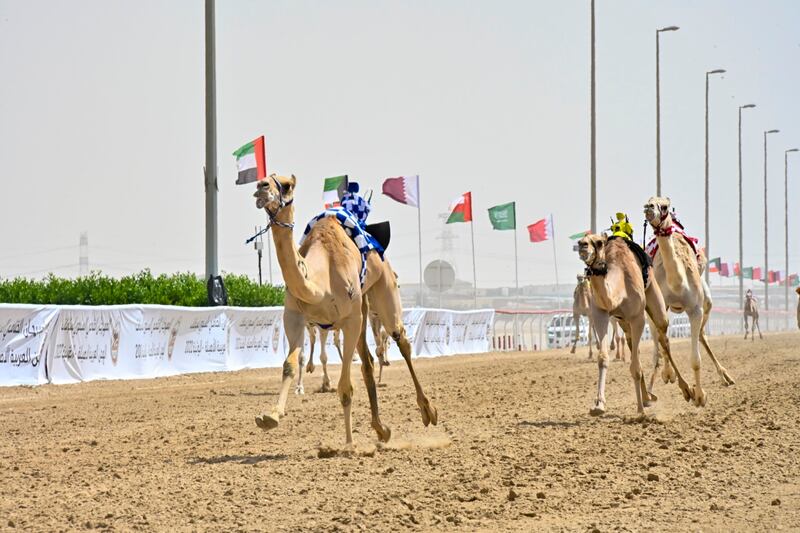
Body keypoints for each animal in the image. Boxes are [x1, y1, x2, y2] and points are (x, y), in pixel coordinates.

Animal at [253, 176, 438, 444]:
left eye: (286, 185)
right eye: (263, 181)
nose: (261, 186)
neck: (319, 281)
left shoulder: (350, 320)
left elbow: (346, 387)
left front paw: (349, 445)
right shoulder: (295, 317)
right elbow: (290, 364)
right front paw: (271, 416)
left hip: (383, 290)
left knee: (400, 340)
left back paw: (428, 411)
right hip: (362, 308)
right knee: (369, 360)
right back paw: (381, 428)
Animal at [580, 234, 692, 416]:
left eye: (599, 243)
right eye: (581, 240)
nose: (582, 246)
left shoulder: (637, 317)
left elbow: (636, 367)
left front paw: (640, 411)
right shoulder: (600, 313)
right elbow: (603, 358)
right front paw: (598, 405)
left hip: (656, 301)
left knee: (663, 337)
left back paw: (687, 390)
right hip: (624, 323)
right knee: (635, 345)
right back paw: (647, 397)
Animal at [644, 196, 736, 408]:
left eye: (664, 206)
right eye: (648, 201)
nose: (649, 208)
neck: (677, 283)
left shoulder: (695, 309)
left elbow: (695, 359)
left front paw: (699, 396)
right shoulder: (660, 306)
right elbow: (664, 343)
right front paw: (683, 386)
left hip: (706, 301)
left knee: (701, 334)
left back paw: (725, 377)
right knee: (659, 345)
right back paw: (656, 386)